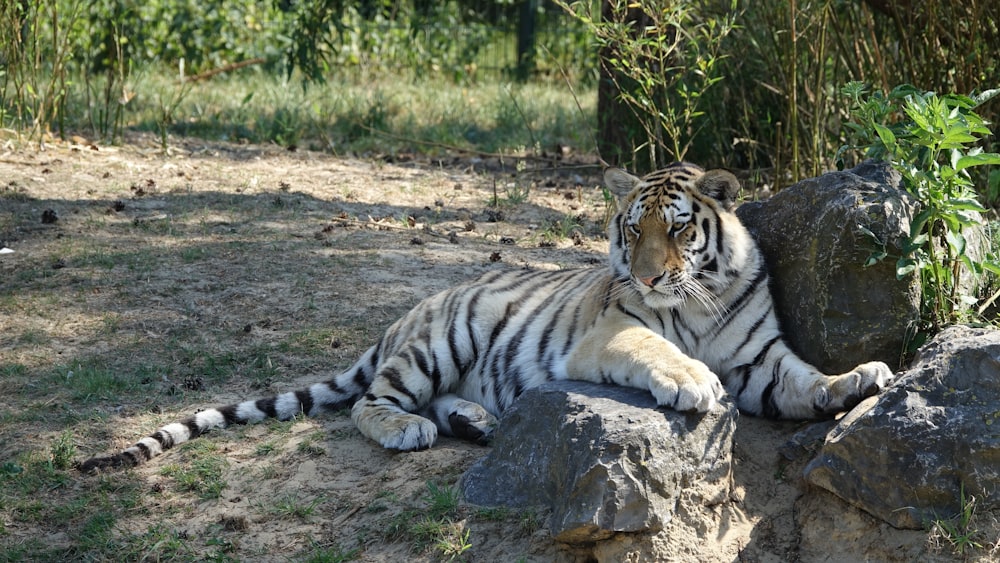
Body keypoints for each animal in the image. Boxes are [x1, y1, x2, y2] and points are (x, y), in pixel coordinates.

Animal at [76, 161, 892, 474]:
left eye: (679, 228)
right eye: (633, 232)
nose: (649, 273)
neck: (698, 298)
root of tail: (404, 314)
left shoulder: (760, 359)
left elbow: (806, 380)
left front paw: (860, 380)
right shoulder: (614, 330)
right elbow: (662, 353)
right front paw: (693, 383)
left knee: (437, 400)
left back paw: (475, 420)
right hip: (440, 341)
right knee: (369, 404)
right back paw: (410, 430)